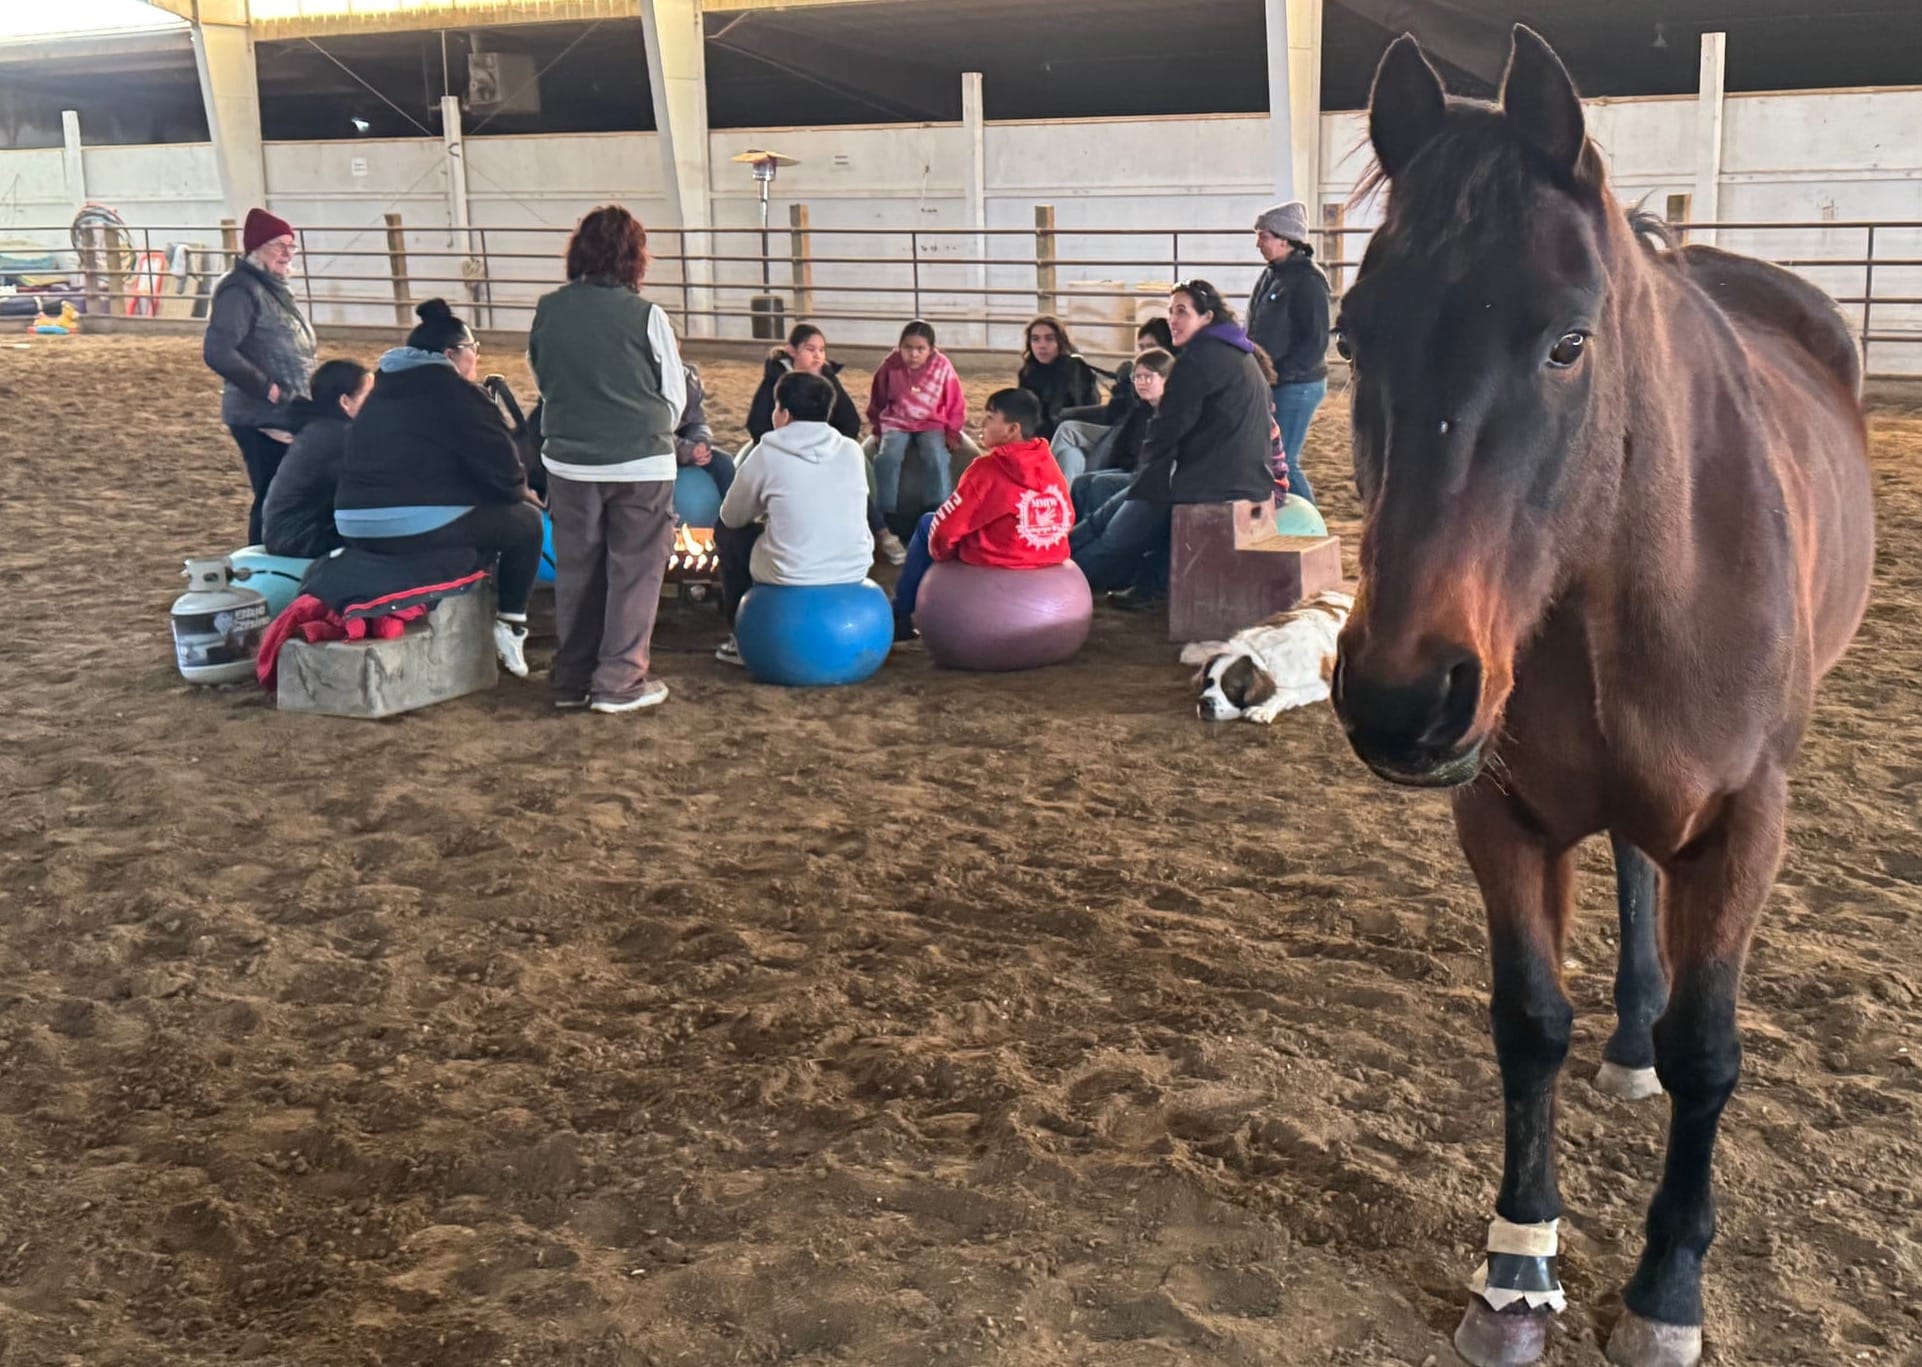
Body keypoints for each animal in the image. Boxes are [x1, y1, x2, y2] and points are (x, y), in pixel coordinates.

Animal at [1329, 27, 1875, 1367]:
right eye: (1353, 337)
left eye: (1567, 340)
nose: (1402, 692)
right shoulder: (1498, 814)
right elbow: (1527, 1020)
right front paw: (1515, 1268)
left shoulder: (1742, 825)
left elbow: (1708, 1048)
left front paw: (1666, 1285)